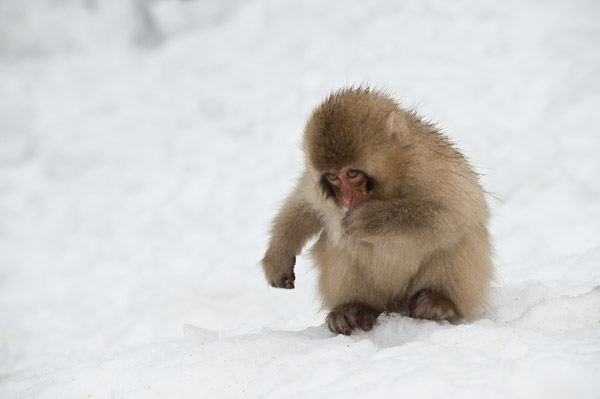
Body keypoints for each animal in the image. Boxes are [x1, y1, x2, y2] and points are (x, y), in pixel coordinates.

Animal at [262, 88, 492, 338]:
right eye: (333, 177)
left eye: (352, 173)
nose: (347, 200)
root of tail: (395, 304)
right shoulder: (317, 189)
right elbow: (304, 205)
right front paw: (277, 256)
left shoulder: (431, 167)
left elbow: (455, 215)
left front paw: (373, 219)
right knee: (340, 245)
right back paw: (353, 309)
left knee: (456, 238)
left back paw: (439, 301)